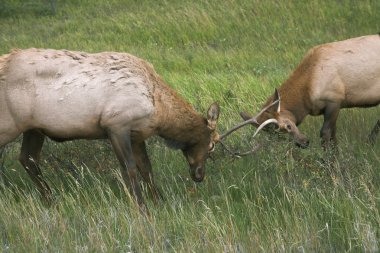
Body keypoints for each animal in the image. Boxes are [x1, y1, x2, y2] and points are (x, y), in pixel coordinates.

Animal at [0, 48, 221, 211]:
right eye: (211, 145)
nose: (199, 175)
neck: (158, 110)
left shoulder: (137, 135)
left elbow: (146, 168)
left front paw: (159, 202)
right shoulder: (116, 125)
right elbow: (129, 169)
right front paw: (142, 208)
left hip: (34, 128)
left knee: (28, 159)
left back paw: (51, 201)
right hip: (9, 125)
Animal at [238, 35, 380, 150]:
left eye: (288, 126)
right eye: (276, 136)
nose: (303, 143)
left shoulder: (334, 100)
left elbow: (325, 134)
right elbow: (333, 137)